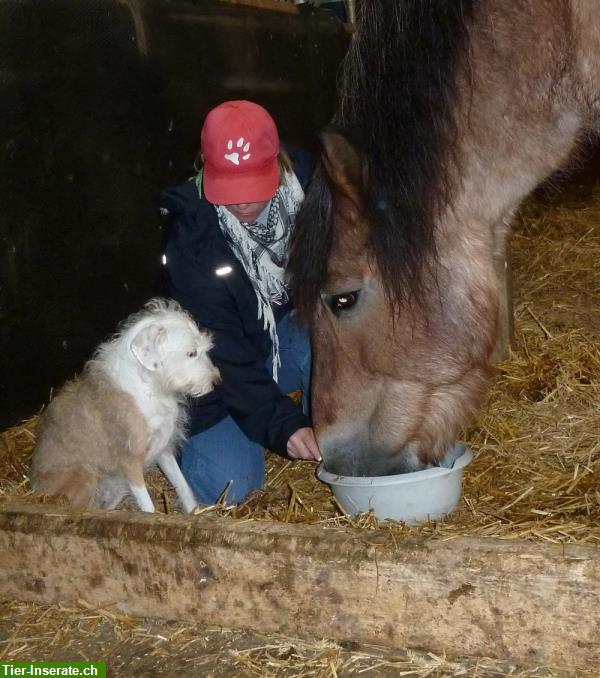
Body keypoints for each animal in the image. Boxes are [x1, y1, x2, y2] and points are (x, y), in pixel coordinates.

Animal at [28, 298, 220, 516]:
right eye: (191, 353)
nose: (217, 382)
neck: (150, 386)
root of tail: (33, 489)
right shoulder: (130, 462)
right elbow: (148, 507)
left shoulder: (163, 449)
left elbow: (183, 486)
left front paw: (196, 514)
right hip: (86, 476)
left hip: (116, 489)